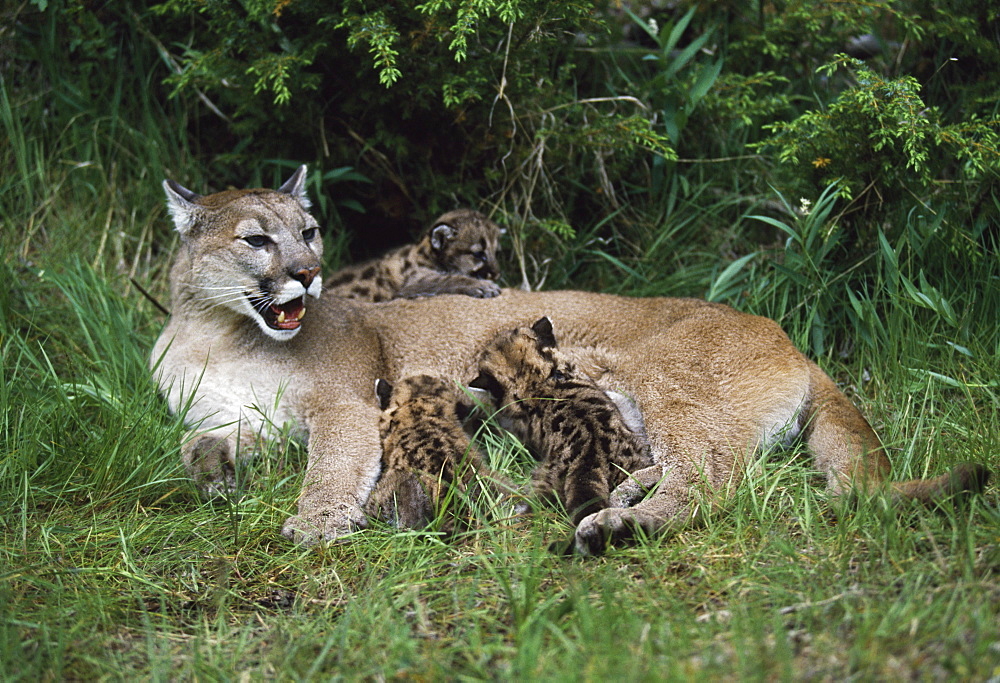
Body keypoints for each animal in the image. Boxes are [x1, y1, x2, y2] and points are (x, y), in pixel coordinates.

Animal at [152, 170, 988, 556]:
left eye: (310, 230)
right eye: (258, 239)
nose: (308, 273)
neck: (214, 331)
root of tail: (788, 336)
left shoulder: (346, 404)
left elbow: (331, 462)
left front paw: (317, 519)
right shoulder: (239, 417)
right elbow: (198, 440)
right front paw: (216, 475)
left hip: (656, 375)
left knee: (713, 477)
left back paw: (621, 523)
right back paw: (624, 494)